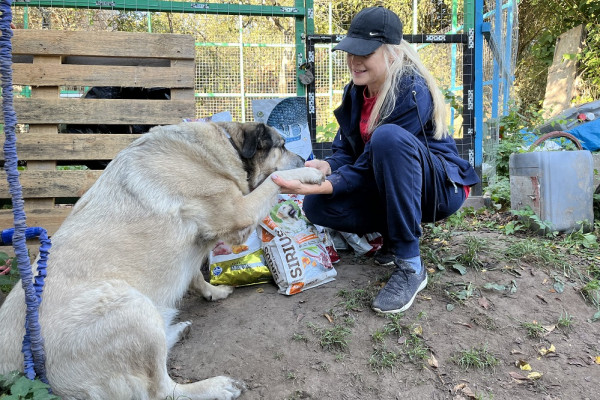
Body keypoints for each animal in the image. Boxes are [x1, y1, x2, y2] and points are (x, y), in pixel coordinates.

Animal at [0, 120, 324, 398]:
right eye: (282, 145)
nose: (305, 159)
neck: (224, 147)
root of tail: (15, 367)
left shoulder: (193, 247)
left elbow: (195, 274)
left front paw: (213, 292)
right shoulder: (239, 212)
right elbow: (275, 181)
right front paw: (307, 175)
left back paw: (177, 330)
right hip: (134, 308)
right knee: (162, 390)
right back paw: (217, 386)